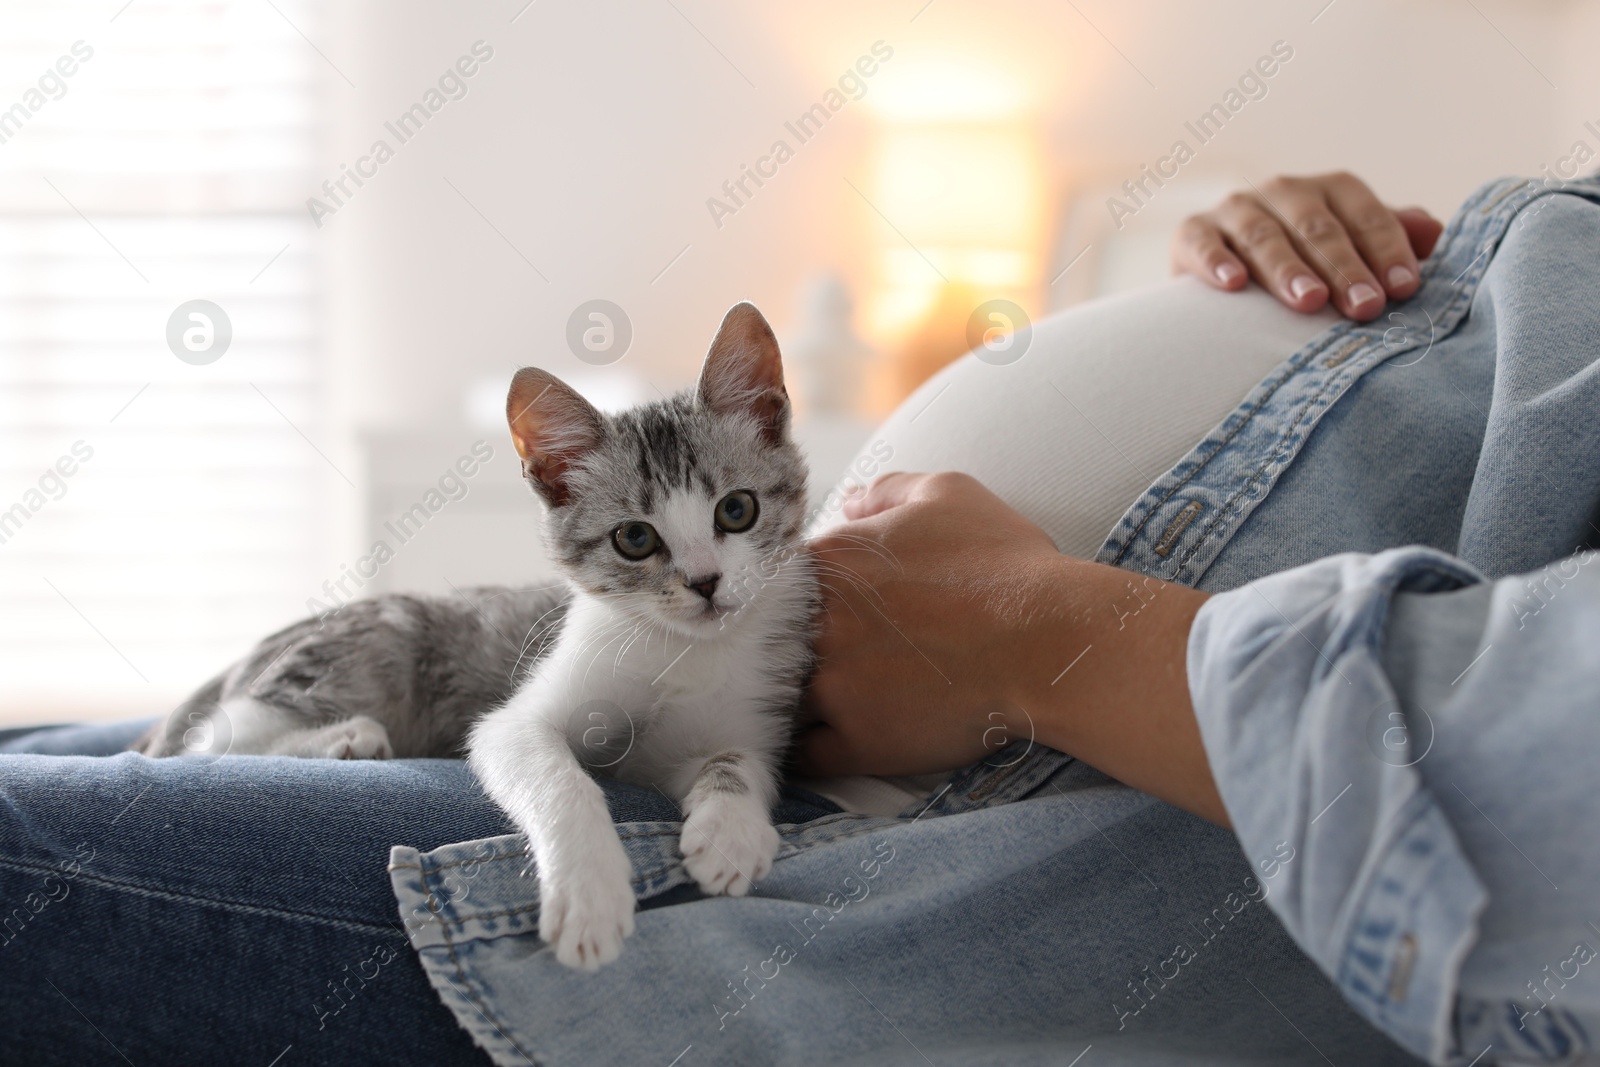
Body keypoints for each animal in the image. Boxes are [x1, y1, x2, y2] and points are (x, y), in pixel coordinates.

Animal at [134, 303, 812, 972]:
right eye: (635, 539)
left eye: (737, 510)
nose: (705, 583)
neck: (682, 647)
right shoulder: (518, 718)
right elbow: (555, 775)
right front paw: (588, 892)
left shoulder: (733, 721)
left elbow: (736, 762)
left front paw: (730, 832)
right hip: (379, 646)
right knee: (214, 737)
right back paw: (346, 736)